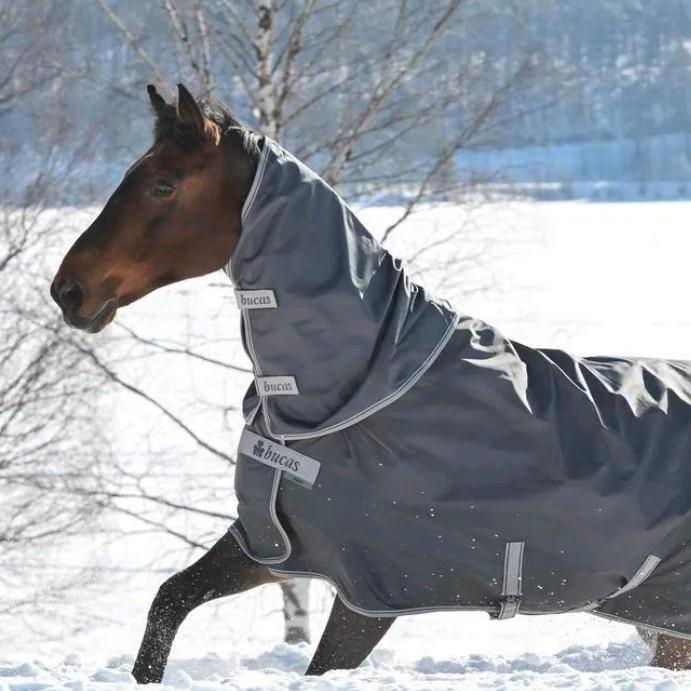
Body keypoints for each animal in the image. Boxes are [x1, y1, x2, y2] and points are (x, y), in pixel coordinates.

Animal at [51, 84, 691, 681]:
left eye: (162, 185)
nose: (68, 291)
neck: (356, 395)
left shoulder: (373, 590)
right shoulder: (278, 543)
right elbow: (169, 601)